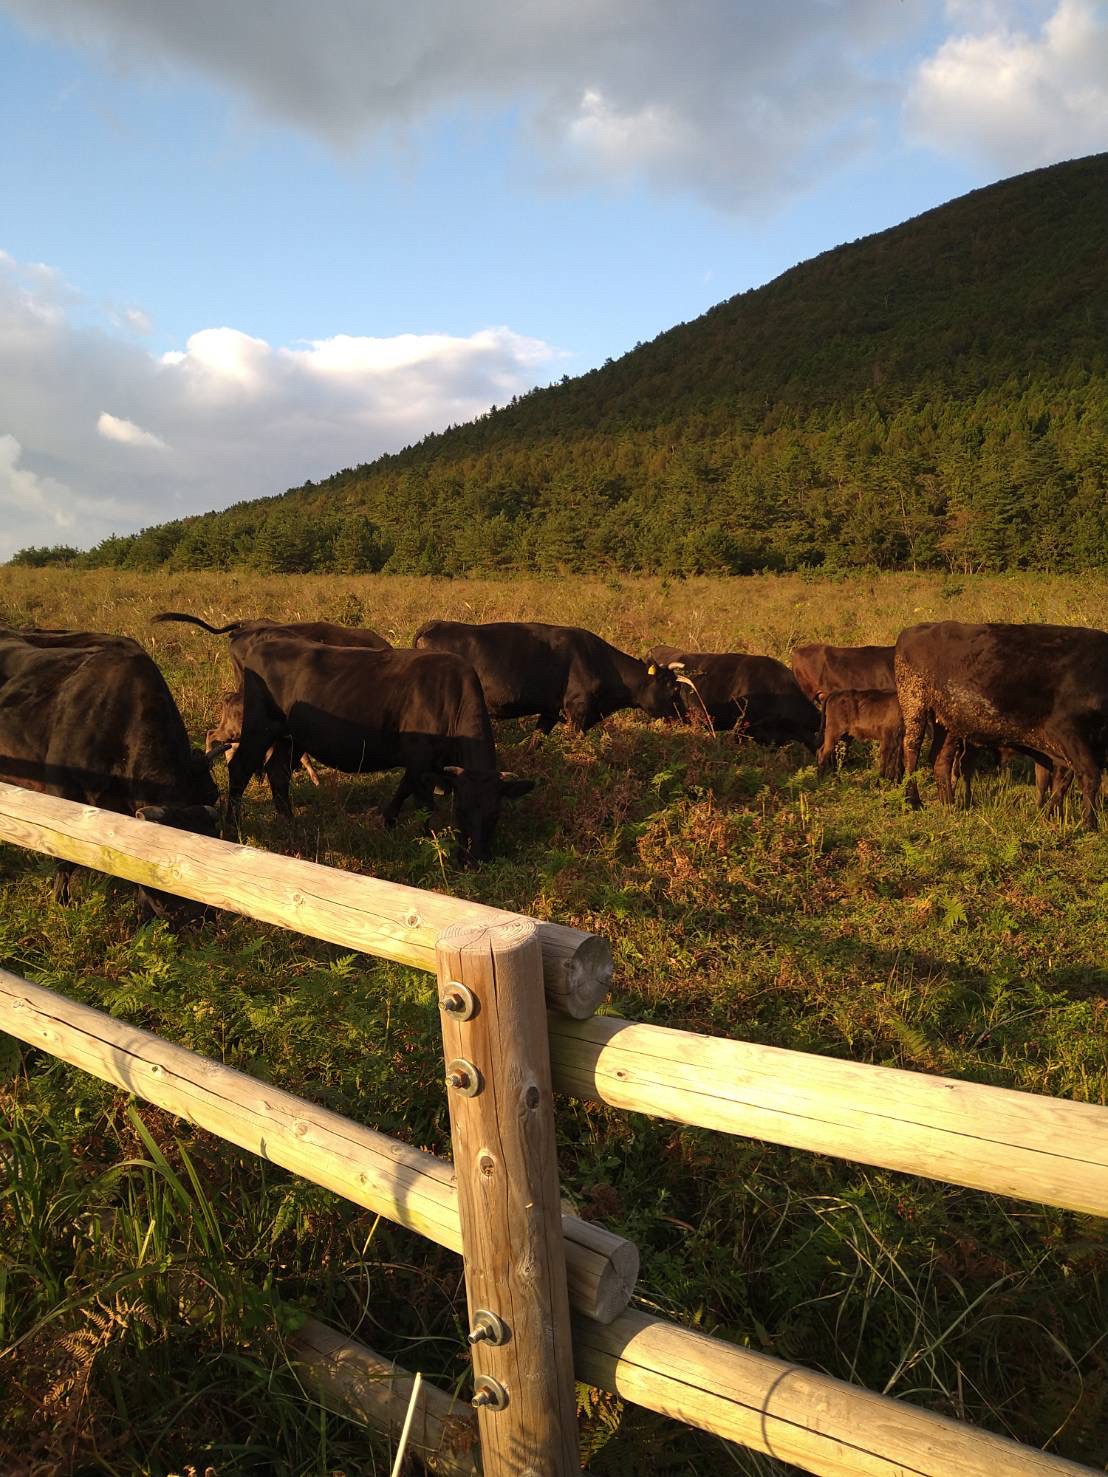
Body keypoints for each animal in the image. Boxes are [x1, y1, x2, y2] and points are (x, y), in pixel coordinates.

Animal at [892, 620, 1108, 827]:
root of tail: (915, 629)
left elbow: (1061, 784)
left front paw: (1051, 816)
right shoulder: (1067, 733)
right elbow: (1090, 776)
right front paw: (1089, 825)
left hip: (947, 723)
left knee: (941, 760)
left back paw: (949, 804)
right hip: (915, 705)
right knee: (911, 752)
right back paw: (913, 801)